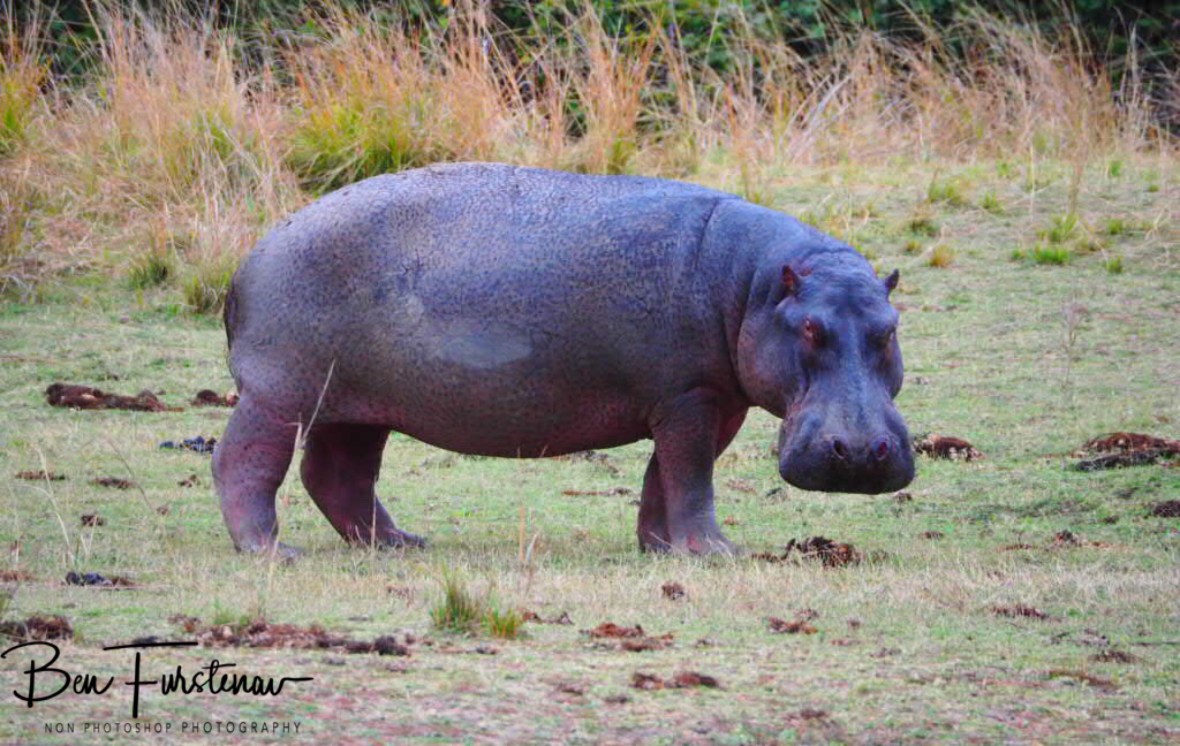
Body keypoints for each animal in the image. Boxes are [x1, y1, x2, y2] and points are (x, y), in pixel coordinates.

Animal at [213, 162, 914, 557]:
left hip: (359, 406)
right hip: (279, 393)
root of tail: (253, 253)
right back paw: (272, 552)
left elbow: (664, 476)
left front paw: (659, 550)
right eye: (811, 329)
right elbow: (691, 476)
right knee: (245, 463)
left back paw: (402, 545)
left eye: (890, 328)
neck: (758, 286)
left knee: (338, 477)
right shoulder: (689, 396)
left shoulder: (712, 400)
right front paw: (716, 552)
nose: (858, 455)